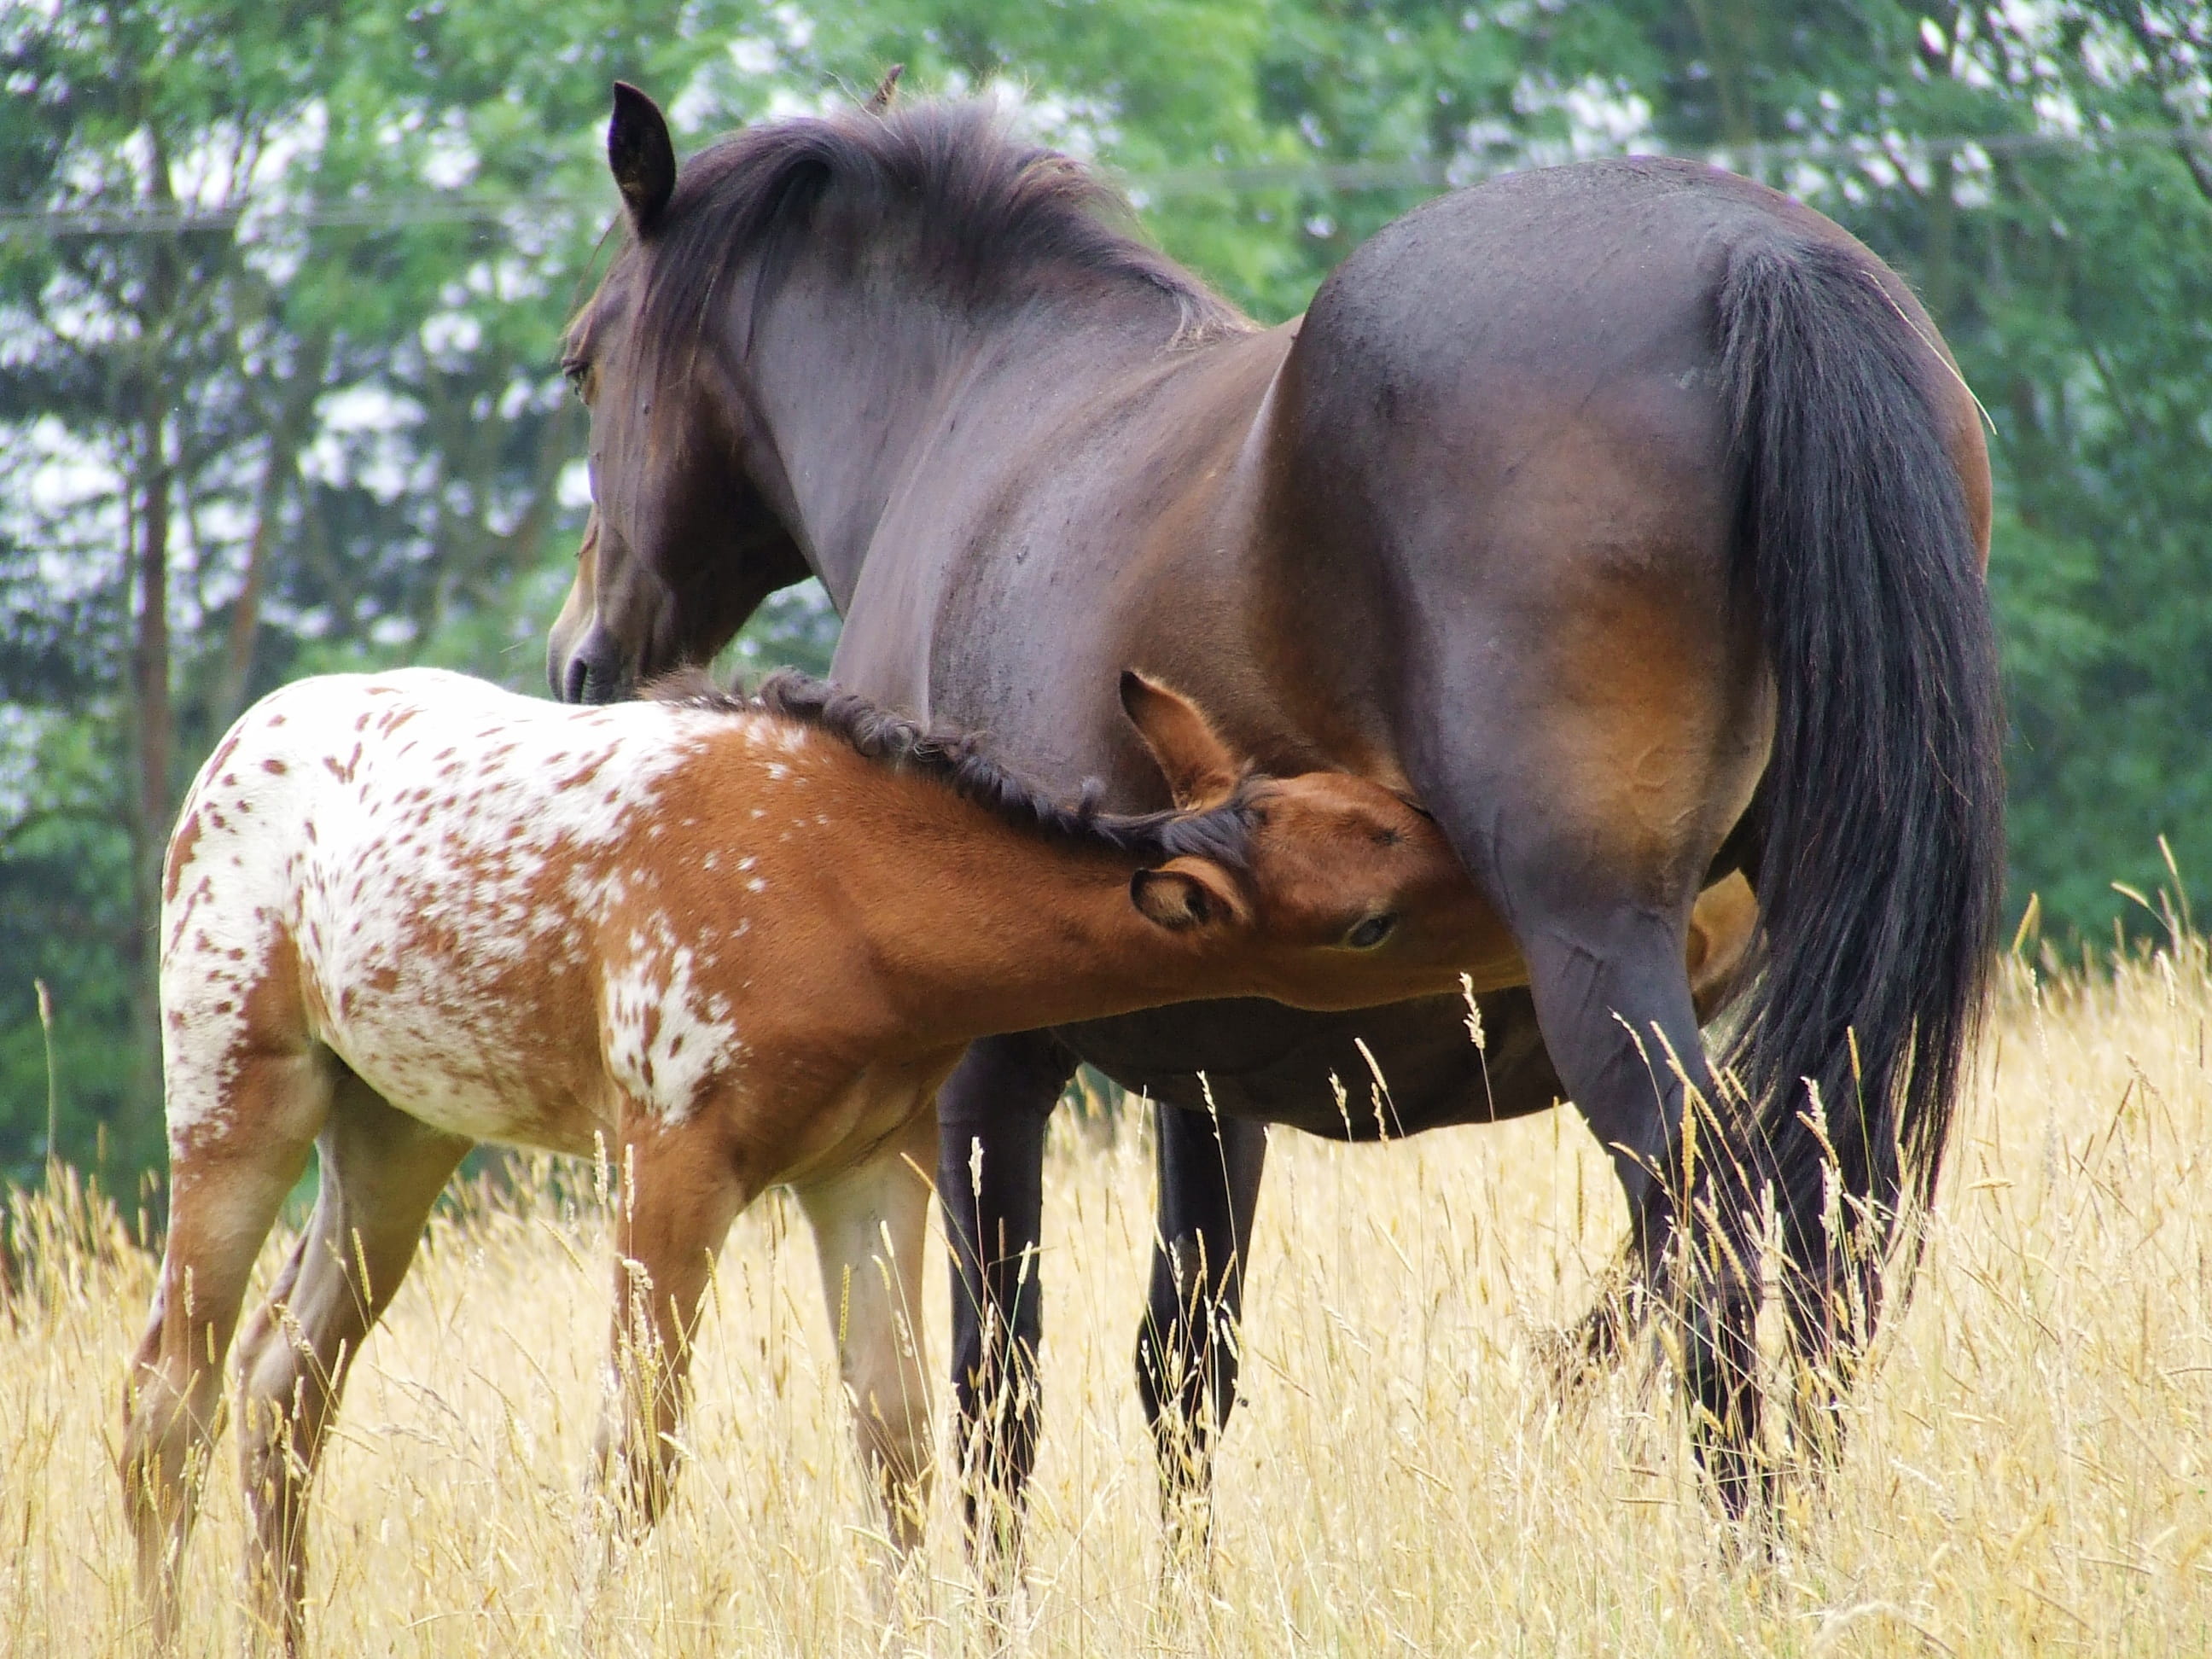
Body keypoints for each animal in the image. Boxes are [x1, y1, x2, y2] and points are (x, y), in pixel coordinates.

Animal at [122, 662, 1498, 1650]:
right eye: (1368, 925)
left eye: (1375, 802)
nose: (1495, 880)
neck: (843, 897)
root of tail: (225, 756)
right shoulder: (673, 1151)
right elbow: (640, 1453)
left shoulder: (871, 1162)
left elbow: (895, 1445)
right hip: (237, 1088)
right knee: (168, 1400)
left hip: (398, 1127)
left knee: (280, 1386)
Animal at [547, 83, 2004, 1554]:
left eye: (581, 364)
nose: (581, 658)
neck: (966, 414)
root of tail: (1752, 259)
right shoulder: (1210, 1070)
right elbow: (1184, 1369)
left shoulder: (985, 1073)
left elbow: (996, 1389)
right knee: (1829, 1239)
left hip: (1606, 961)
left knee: (1708, 1240)